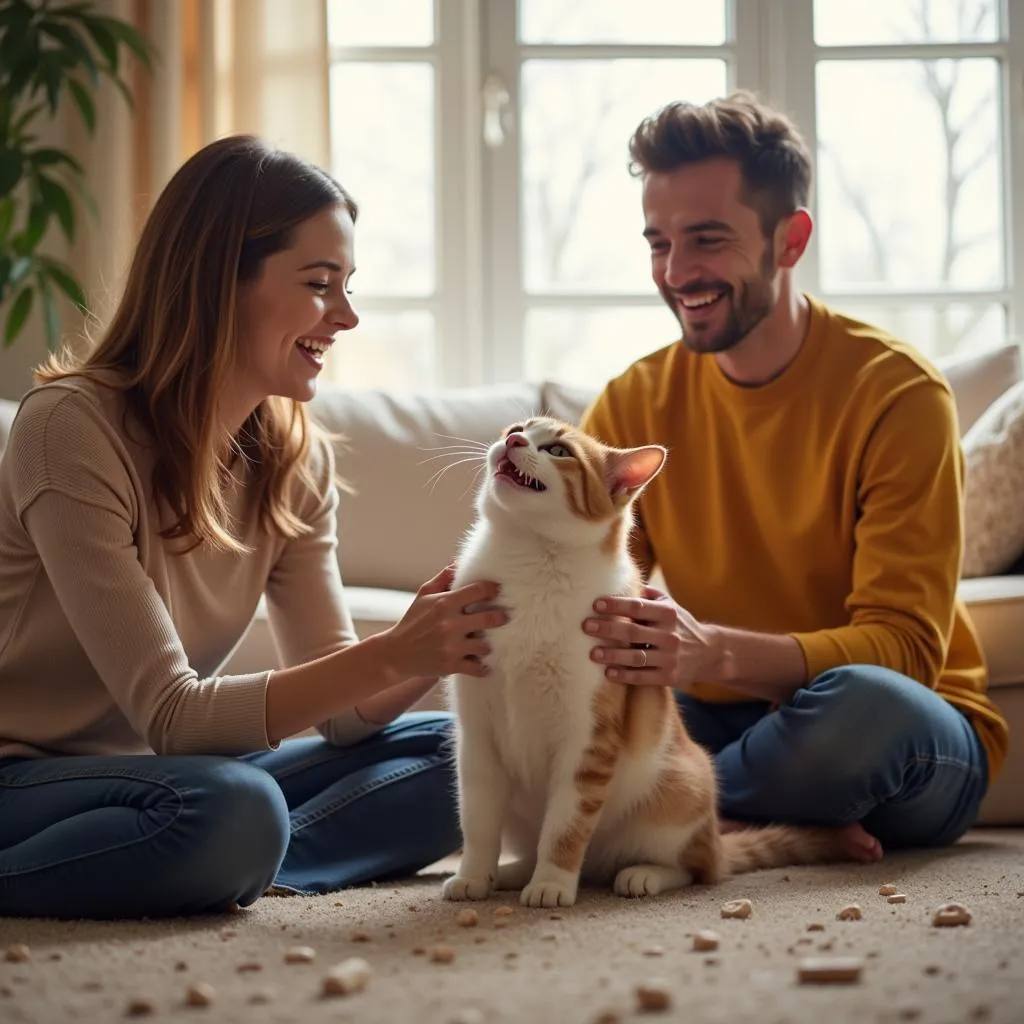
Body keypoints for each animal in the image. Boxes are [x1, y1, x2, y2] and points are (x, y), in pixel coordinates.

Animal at [444, 415, 868, 913]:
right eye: (518, 428)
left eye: (559, 451)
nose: (511, 440)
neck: (530, 562)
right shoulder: (476, 735)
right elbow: (478, 819)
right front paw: (474, 875)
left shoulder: (589, 738)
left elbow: (566, 825)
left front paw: (551, 882)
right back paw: (513, 871)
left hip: (681, 790)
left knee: (697, 868)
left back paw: (641, 874)